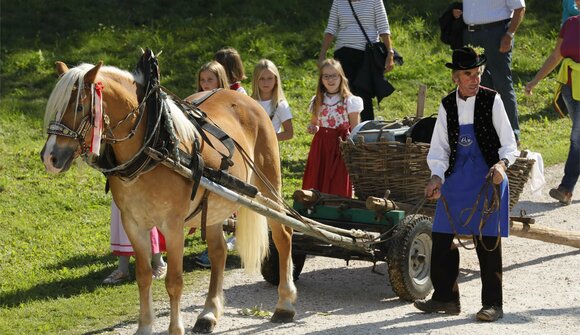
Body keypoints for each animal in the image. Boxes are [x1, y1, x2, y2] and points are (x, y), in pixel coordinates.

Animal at [39, 50, 300, 335]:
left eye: (78, 107)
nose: (49, 157)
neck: (154, 143)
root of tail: (248, 100)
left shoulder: (173, 226)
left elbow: (174, 281)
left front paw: (175, 328)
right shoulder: (133, 224)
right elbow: (143, 277)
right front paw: (144, 326)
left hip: (269, 184)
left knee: (283, 235)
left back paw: (285, 303)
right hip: (215, 205)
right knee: (218, 252)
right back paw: (208, 313)